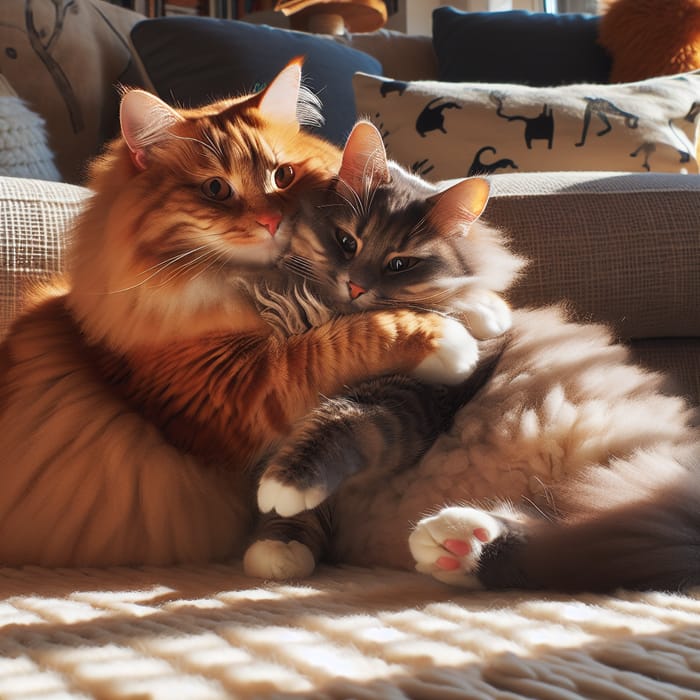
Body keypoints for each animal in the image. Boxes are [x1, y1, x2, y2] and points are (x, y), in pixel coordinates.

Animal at [249, 120, 696, 592]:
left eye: (400, 264)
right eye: (346, 241)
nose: (355, 285)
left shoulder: (413, 400)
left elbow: (342, 421)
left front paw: (283, 487)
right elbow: (301, 510)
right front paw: (277, 545)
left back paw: (459, 545)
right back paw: (458, 547)